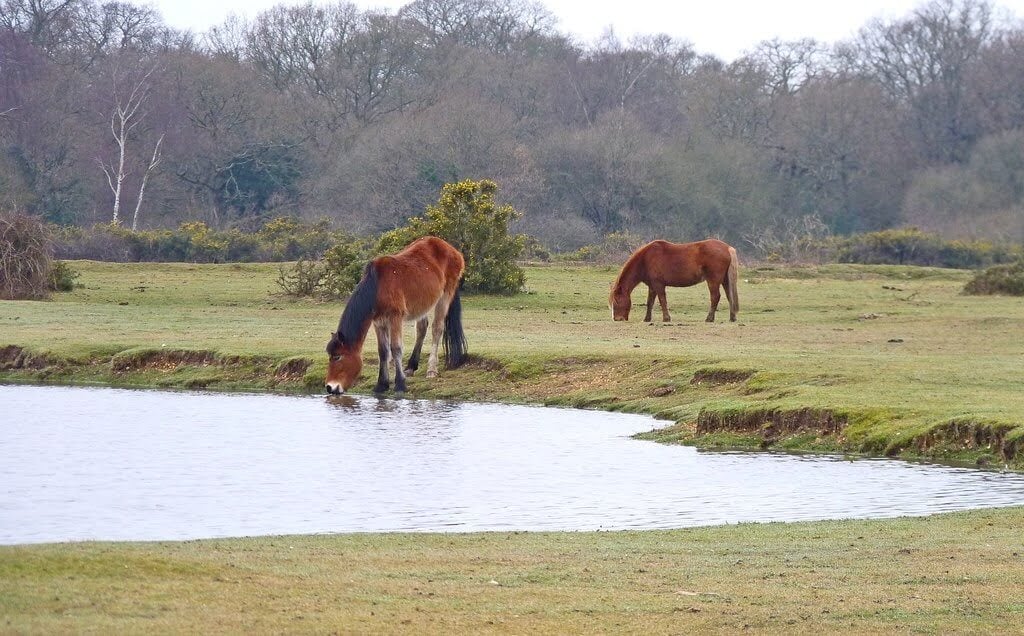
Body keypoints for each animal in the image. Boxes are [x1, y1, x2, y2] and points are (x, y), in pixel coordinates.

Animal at [325, 236, 468, 395]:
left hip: (445, 295)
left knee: (437, 328)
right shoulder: (378, 322)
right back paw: (411, 366)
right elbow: (383, 351)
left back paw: (431, 370)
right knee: (422, 328)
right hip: (423, 304)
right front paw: (382, 384)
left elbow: (396, 348)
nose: (330, 387)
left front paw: (400, 384)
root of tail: (453, 250)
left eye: (337, 357)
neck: (377, 287)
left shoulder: (395, 318)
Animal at [609, 238, 739, 323]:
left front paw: (666, 318)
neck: (645, 259)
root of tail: (727, 248)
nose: (617, 319)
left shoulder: (658, 285)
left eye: (616, 301)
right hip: (725, 281)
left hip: (713, 281)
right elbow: (650, 302)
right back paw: (732, 317)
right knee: (729, 296)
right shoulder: (652, 286)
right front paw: (647, 319)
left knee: (715, 297)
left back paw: (709, 318)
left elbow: (662, 300)